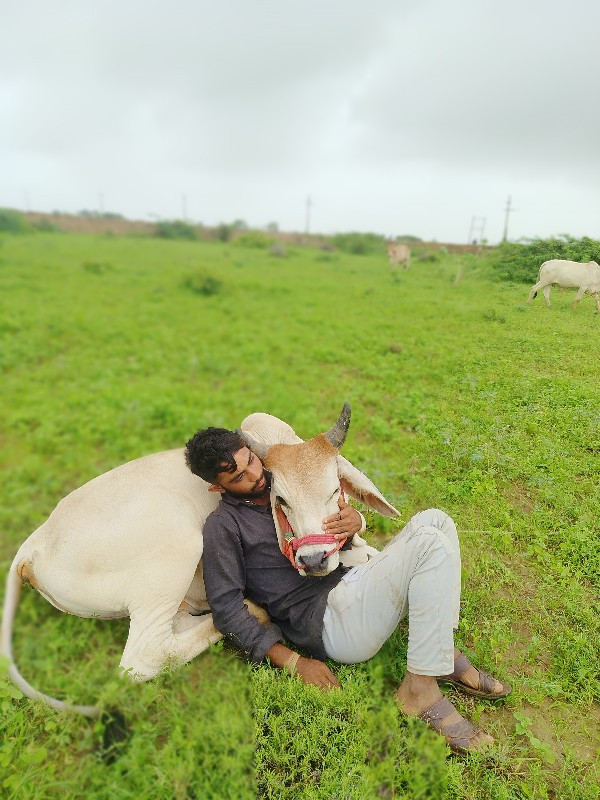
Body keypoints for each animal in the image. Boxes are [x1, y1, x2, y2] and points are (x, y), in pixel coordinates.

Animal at [2, 406, 400, 720]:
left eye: (334, 490)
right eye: (281, 499)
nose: (314, 559)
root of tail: (36, 543)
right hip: (178, 548)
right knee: (145, 658)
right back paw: (252, 610)